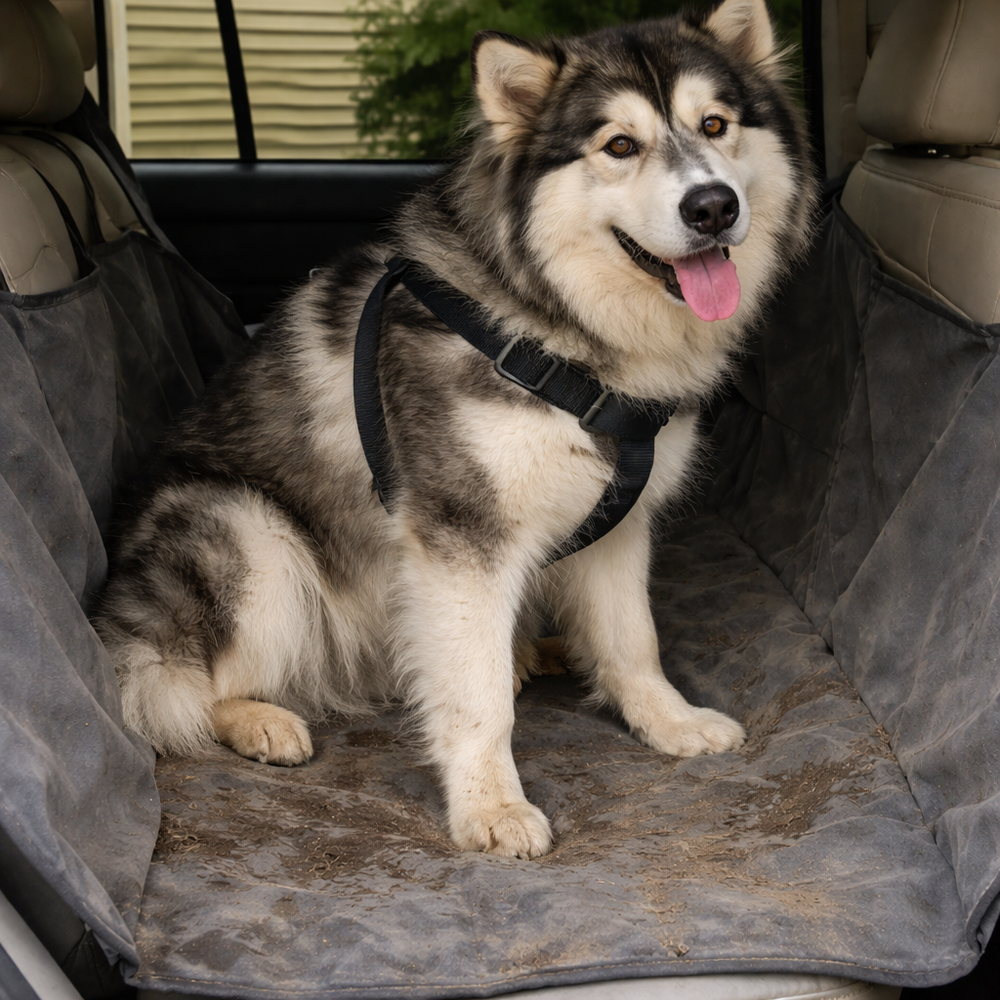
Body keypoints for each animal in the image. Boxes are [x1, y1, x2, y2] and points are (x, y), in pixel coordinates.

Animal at [97, 0, 817, 859]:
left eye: (716, 124)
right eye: (619, 145)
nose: (712, 206)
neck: (561, 334)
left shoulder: (618, 521)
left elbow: (631, 640)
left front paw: (666, 720)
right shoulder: (461, 538)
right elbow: (477, 698)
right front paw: (489, 806)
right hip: (247, 537)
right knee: (180, 685)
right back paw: (260, 719)